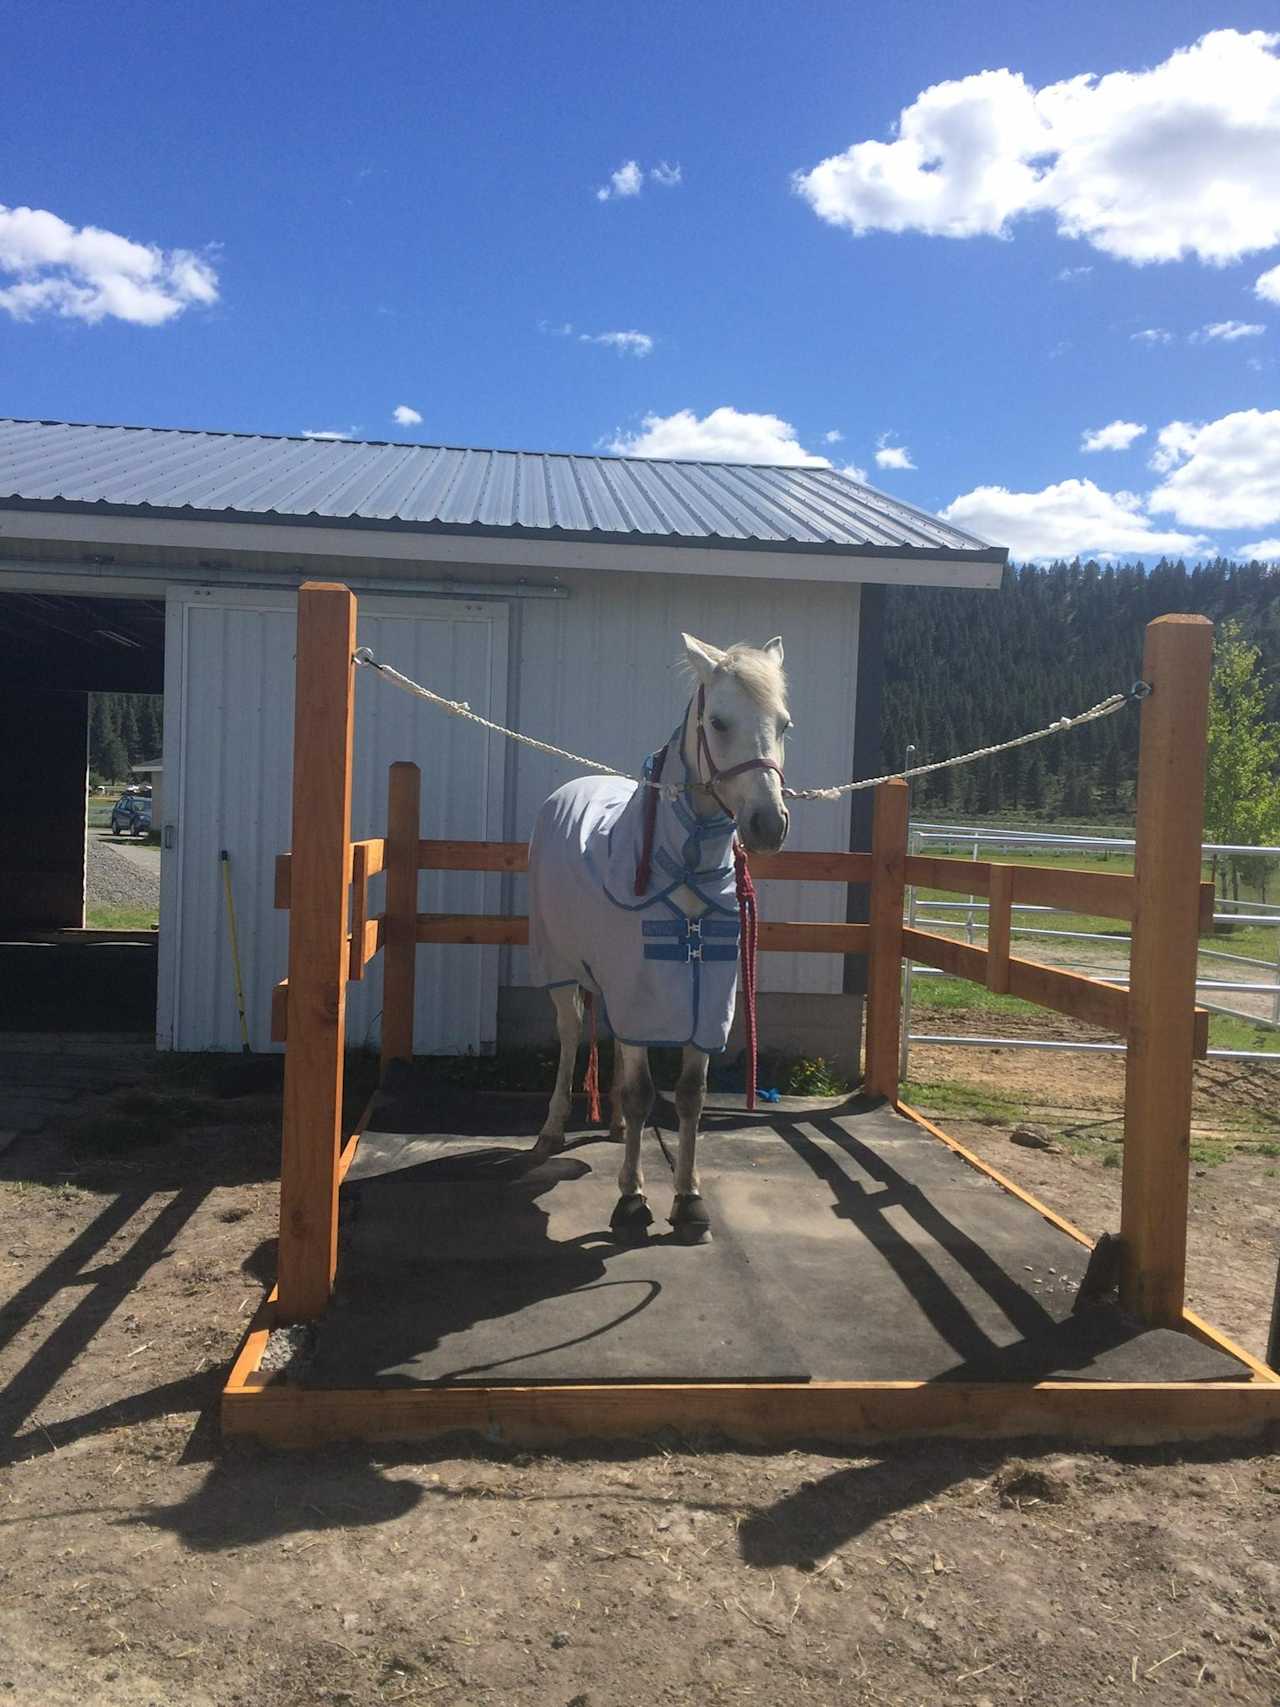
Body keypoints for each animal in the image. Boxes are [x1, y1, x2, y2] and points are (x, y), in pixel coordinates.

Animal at [522, 635, 791, 1249]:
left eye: (784, 724)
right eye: (718, 722)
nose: (768, 824)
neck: (683, 867)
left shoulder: (705, 1001)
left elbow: (687, 1096)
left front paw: (688, 1200)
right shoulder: (640, 990)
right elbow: (643, 1092)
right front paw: (630, 1199)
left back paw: (619, 1128)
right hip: (559, 964)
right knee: (571, 1034)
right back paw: (551, 1130)